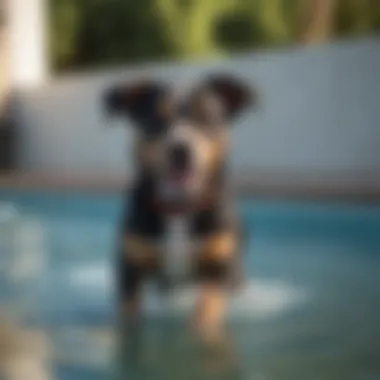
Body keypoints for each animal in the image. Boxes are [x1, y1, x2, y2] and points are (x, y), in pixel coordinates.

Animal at [104, 72, 255, 340]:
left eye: (206, 118)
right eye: (156, 120)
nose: (180, 149)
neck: (179, 209)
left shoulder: (218, 266)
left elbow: (207, 304)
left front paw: (202, 329)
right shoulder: (131, 267)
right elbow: (127, 310)